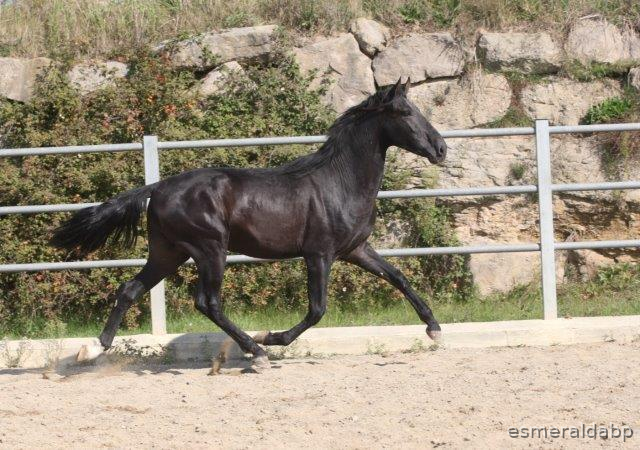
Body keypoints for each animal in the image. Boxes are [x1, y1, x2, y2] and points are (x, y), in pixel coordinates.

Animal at [51, 78, 448, 371]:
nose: (441, 148)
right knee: (207, 302)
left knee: (130, 289)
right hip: (210, 249)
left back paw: (92, 349)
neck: (340, 181)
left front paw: (434, 329)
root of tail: (158, 187)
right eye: (405, 111)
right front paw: (270, 338)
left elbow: (398, 277)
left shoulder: (355, 249)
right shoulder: (319, 254)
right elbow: (317, 309)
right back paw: (255, 352)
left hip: (169, 252)